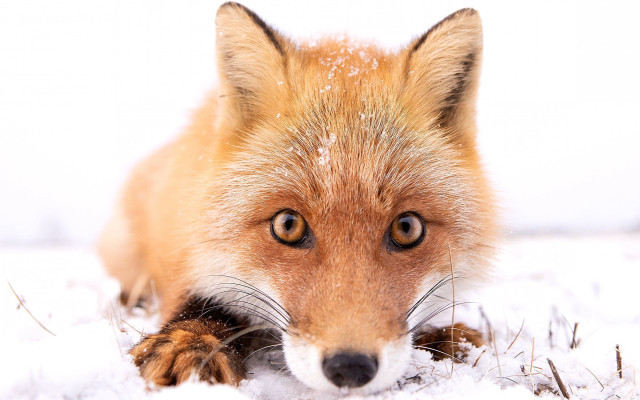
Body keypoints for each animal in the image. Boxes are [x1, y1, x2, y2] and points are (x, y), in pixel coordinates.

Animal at [99, 2, 496, 395]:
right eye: (287, 225)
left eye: (407, 228)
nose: (350, 367)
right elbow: (203, 301)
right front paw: (190, 341)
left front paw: (447, 338)